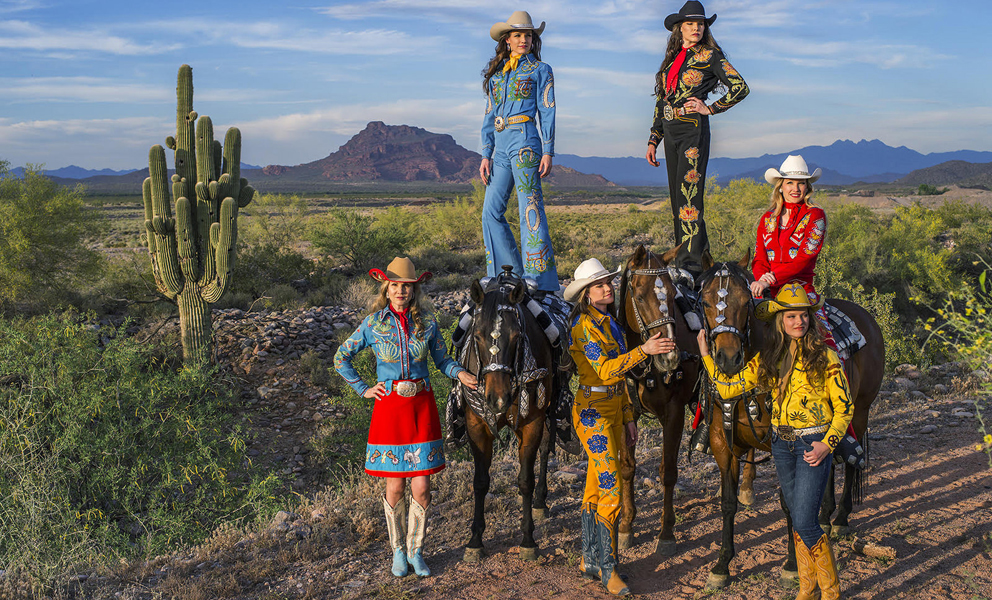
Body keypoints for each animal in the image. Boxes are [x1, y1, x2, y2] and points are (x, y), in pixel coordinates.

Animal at [462, 276, 556, 564]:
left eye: (517, 336)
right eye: (477, 336)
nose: (498, 399)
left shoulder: (532, 422)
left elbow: (525, 480)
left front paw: (527, 539)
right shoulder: (477, 427)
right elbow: (480, 482)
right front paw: (475, 540)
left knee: (546, 448)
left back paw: (540, 502)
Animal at [692, 253, 888, 592]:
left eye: (745, 301)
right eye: (704, 301)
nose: (728, 359)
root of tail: (866, 317)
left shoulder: (781, 441)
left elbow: (788, 500)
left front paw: (792, 564)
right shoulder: (721, 442)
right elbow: (728, 503)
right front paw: (722, 565)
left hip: (860, 411)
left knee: (852, 462)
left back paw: (840, 519)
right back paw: (824, 516)